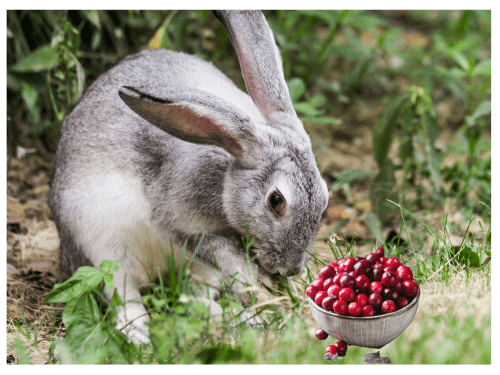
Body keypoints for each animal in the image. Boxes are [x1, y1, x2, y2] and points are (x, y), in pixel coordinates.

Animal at [46, 10, 328, 346]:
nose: (291, 270)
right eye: (276, 201)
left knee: (191, 299)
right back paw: (140, 335)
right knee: (124, 295)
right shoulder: (181, 223)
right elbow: (225, 257)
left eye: (325, 198)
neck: (228, 163)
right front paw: (258, 288)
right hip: (102, 246)